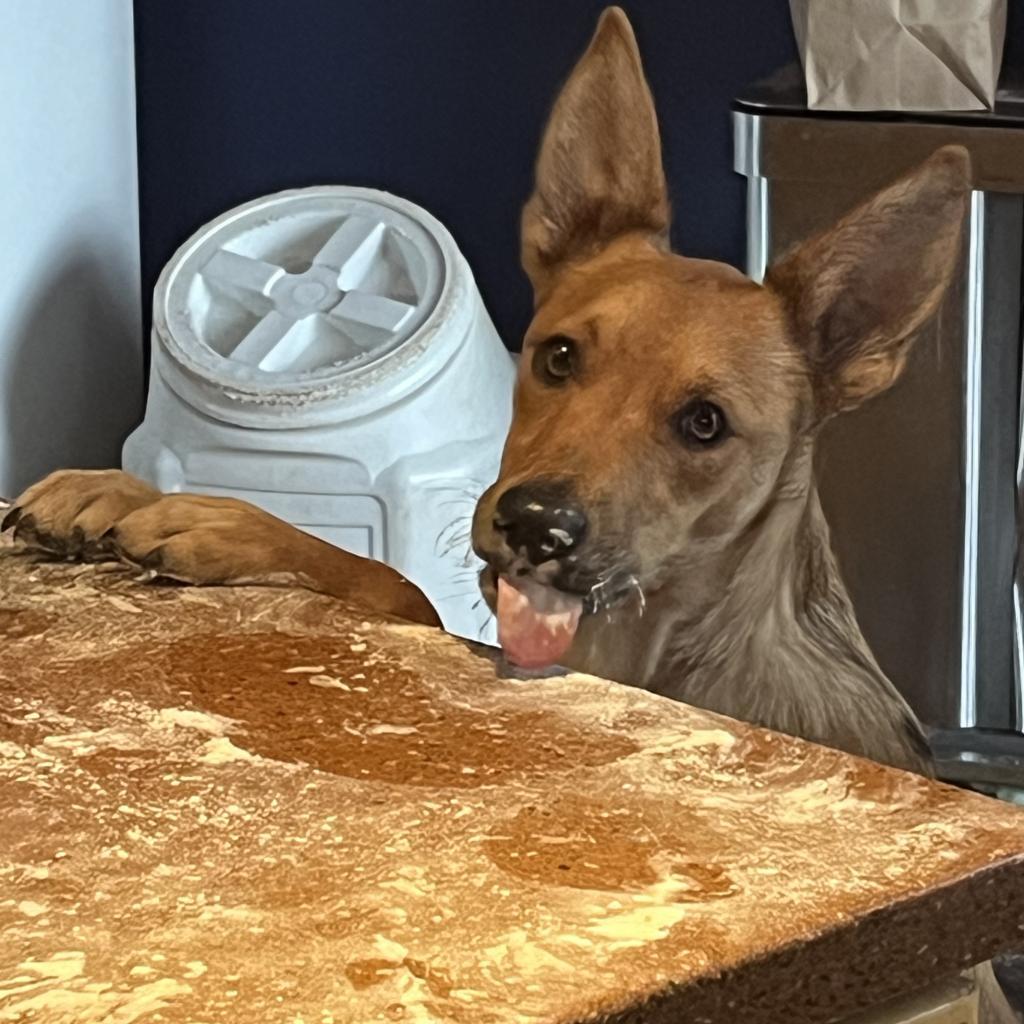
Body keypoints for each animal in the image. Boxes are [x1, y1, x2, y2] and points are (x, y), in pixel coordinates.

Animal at [2, 9, 966, 774]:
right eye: (559, 357)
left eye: (705, 423)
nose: (535, 526)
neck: (656, 642)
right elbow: (396, 584)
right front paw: (119, 492)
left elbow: (396, 585)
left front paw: (222, 521)